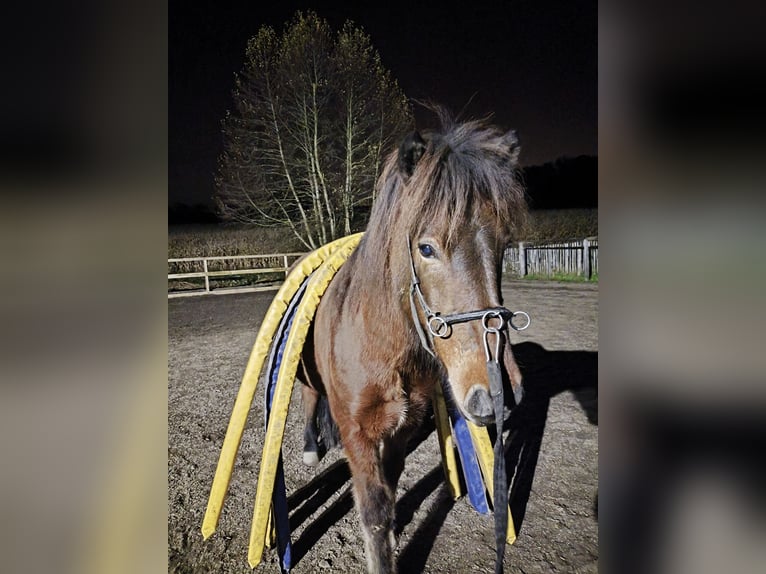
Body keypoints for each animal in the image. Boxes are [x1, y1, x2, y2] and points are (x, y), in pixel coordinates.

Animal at [300, 113, 528, 574]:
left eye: (503, 244)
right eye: (426, 248)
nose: (498, 390)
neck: (382, 347)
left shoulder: (402, 429)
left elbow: (391, 489)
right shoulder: (357, 434)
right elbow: (373, 510)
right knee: (309, 397)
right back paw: (311, 448)